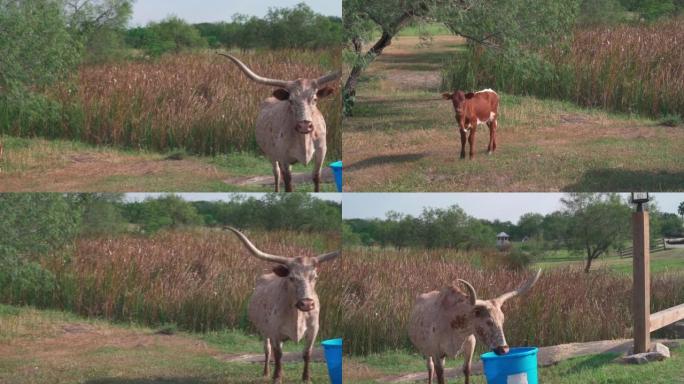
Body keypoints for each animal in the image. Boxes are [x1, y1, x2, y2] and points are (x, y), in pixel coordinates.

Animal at [226, 226, 340, 382]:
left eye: (315, 277)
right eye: (291, 278)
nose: (306, 304)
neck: (297, 314)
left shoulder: (313, 330)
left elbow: (307, 353)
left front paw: (306, 378)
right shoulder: (274, 332)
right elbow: (278, 355)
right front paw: (277, 377)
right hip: (264, 331)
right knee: (268, 351)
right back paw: (267, 373)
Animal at [408, 270, 544, 384]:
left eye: (503, 320)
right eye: (488, 321)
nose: (504, 349)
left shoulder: (471, 344)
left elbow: (466, 369)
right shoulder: (436, 353)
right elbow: (440, 375)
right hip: (426, 351)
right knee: (430, 368)